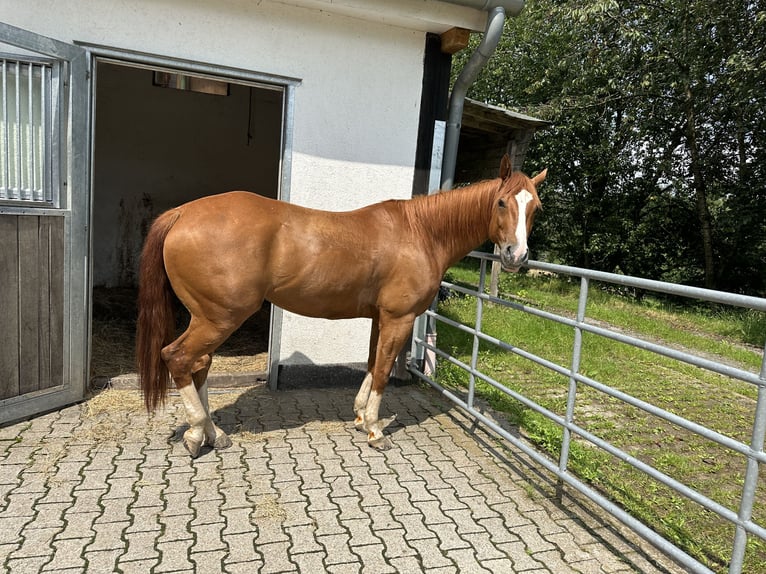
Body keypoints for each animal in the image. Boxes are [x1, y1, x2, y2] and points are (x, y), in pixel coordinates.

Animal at [136, 154, 546, 457]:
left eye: (535, 208)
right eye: (501, 202)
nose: (517, 255)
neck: (421, 233)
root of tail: (181, 214)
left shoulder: (381, 318)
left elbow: (372, 363)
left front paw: (362, 417)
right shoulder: (399, 319)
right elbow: (383, 371)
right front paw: (376, 430)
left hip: (207, 316)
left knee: (199, 364)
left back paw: (212, 433)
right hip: (220, 317)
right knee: (178, 358)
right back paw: (196, 435)